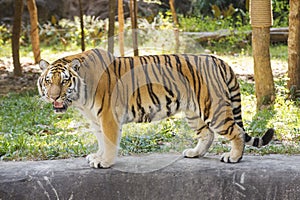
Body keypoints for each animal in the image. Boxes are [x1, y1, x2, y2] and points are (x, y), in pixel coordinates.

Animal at [37, 47, 274, 168]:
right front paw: (97, 156)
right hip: (194, 112)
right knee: (208, 135)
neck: (80, 99)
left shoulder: (108, 117)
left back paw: (233, 157)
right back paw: (194, 153)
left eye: (65, 81)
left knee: (236, 132)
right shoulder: (96, 120)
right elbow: (101, 141)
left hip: (214, 109)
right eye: (48, 81)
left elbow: (110, 142)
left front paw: (104, 162)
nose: (53, 96)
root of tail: (219, 60)